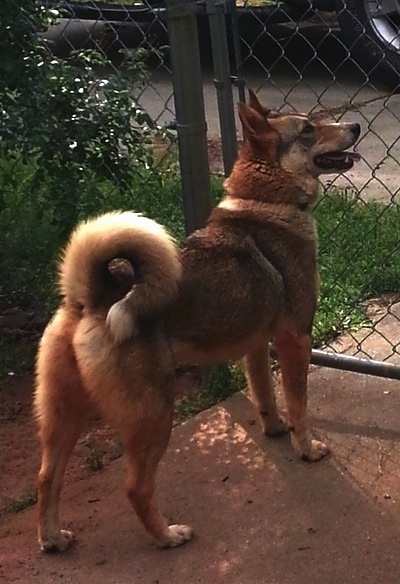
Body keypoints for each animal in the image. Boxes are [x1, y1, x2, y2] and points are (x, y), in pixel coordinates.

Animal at [33, 90, 360, 552]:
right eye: (309, 129)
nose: (356, 126)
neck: (267, 204)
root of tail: (93, 295)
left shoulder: (256, 345)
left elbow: (264, 395)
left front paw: (274, 428)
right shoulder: (296, 338)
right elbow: (299, 403)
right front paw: (306, 447)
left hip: (65, 414)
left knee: (47, 478)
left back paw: (52, 538)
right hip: (153, 413)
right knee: (135, 487)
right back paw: (168, 535)